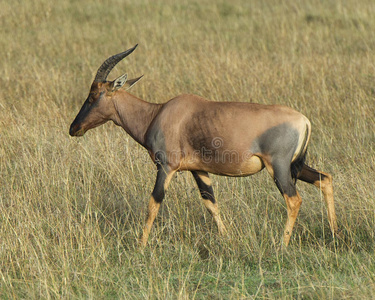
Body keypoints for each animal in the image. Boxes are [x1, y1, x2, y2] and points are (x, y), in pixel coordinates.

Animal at [69, 44, 340, 246]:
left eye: (93, 95)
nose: (74, 128)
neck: (159, 112)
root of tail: (304, 120)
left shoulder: (166, 167)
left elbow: (154, 202)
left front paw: (141, 245)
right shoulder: (198, 170)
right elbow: (211, 203)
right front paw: (228, 239)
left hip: (279, 167)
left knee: (294, 200)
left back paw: (282, 245)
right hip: (296, 165)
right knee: (325, 179)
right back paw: (335, 233)